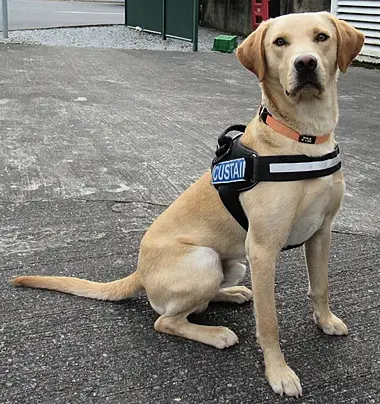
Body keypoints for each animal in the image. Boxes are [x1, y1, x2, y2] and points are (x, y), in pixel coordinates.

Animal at [13, 11, 366, 398]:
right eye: (280, 43)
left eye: (321, 37)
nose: (305, 63)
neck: (304, 138)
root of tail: (140, 271)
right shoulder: (262, 248)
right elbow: (268, 320)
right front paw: (279, 373)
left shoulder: (321, 232)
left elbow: (320, 287)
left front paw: (326, 321)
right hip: (204, 260)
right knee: (166, 320)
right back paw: (215, 334)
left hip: (234, 264)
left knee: (203, 301)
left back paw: (233, 294)